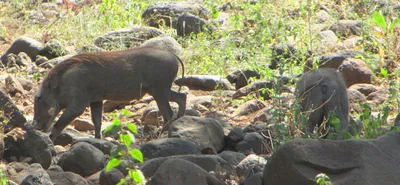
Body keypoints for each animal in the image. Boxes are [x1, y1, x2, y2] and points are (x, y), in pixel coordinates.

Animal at [33, 47, 187, 141]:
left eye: (40, 98)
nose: (36, 128)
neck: (62, 82)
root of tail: (173, 55)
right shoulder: (96, 100)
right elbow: (97, 122)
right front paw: (97, 140)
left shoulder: (77, 105)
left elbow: (58, 125)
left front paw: (50, 141)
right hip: (160, 90)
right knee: (181, 97)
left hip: (160, 90)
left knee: (168, 113)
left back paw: (165, 137)